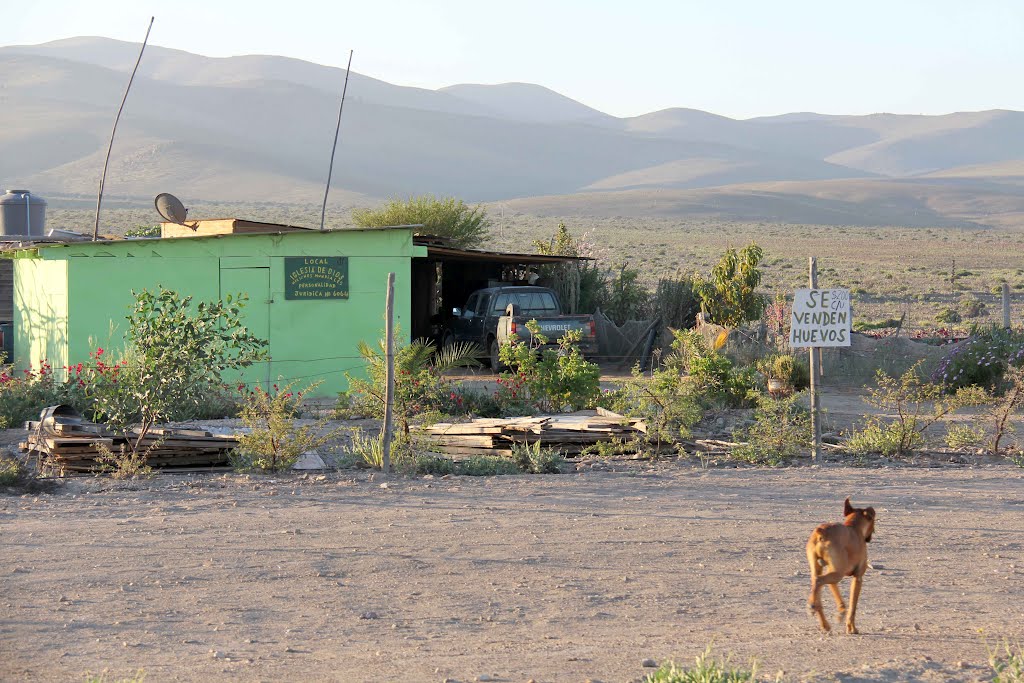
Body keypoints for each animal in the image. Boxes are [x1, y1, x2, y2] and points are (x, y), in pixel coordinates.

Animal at [802, 497, 876, 634]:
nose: (869, 538)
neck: (854, 527)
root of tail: (821, 532)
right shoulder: (857, 578)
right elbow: (853, 606)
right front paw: (852, 628)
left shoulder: (833, 575)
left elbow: (840, 599)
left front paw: (841, 612)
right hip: (838, 574)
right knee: (818, 581)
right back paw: (811, 605)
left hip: (823, 570)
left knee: (816, 586)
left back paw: (824, 623)